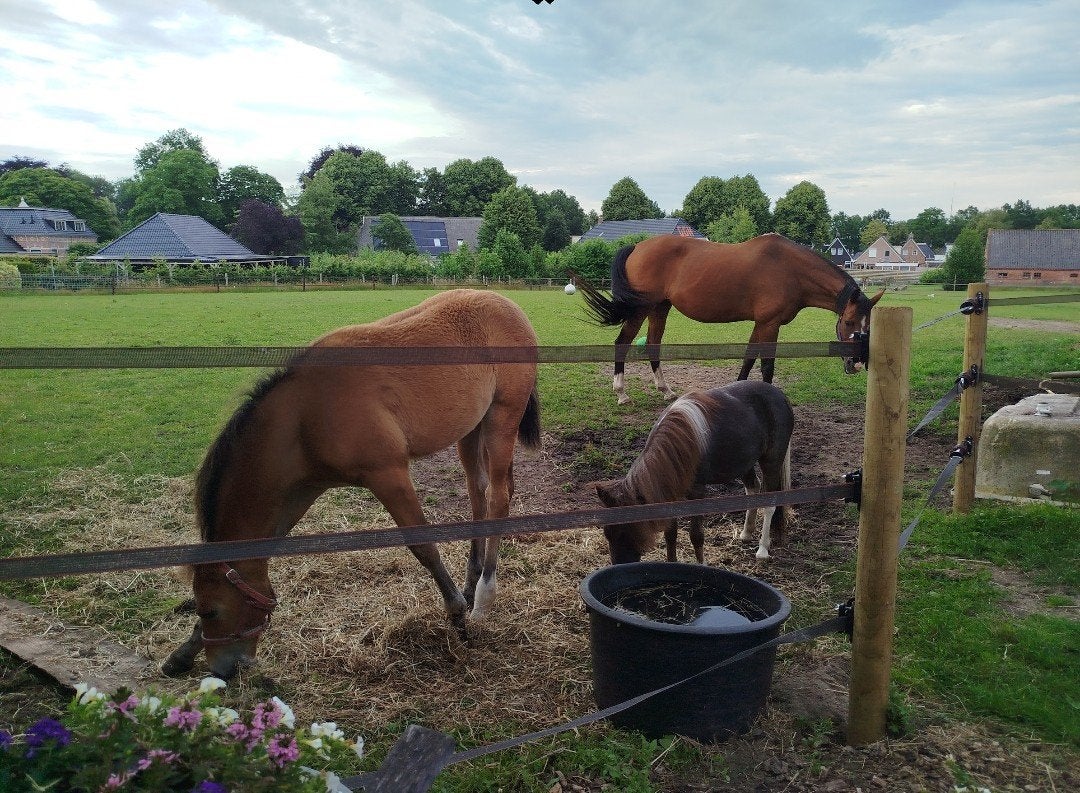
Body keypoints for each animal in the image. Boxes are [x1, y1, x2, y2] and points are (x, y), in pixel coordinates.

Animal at [161, 289, 541, 680]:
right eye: (199, 611)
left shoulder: (388, 474)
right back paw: (471, 582)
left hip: (501, 419)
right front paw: (182, 652)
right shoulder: (299, 491)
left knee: (497, 498)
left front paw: (458, 619)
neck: (305, 417)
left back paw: (483, 596)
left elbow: (424, 547)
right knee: (478, 493)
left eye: (211, 611)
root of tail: (506, 304)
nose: (224, 669)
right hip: (471, 429)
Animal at [573, 233, 882, 403]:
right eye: (848, 322)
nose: (856, 364)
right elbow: (766, 365)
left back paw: (666, 391)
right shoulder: (770, 324)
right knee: (623, 343)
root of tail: (637, 247)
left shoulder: (761, 323)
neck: (790, 270)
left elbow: (748, 359)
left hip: (660, 307)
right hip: (641, 309)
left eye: (869, 325)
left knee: (652, 345)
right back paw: (621, 393)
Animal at [592, 380, 794, 564]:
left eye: (624, 530)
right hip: (744, 462)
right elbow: (670, 534)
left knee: (769, 503)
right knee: (753, 488)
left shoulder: (697, 492)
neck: (678, 446)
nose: (619, 564)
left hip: (772, 460)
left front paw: (701, 564)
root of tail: (780, 395)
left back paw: (762, 549)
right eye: (607, 533)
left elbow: (696, 535)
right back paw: (746, 533)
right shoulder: (671, 493)